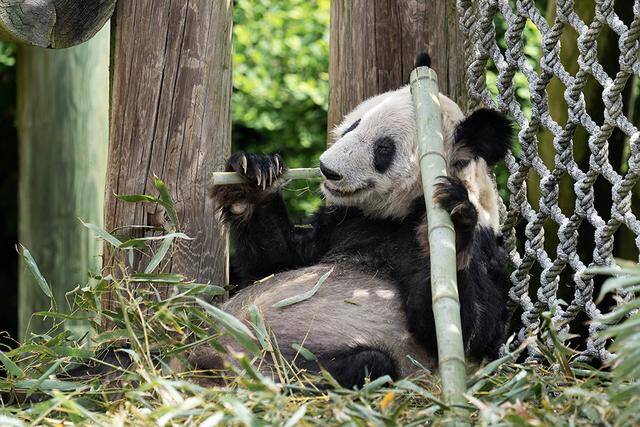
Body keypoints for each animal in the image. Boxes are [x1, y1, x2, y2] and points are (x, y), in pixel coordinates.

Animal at [196, 56, 516, 388]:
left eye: (384, 148)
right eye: (354, 124)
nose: (327, 169)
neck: (397, 215)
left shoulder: (485, 248)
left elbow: (470, 330)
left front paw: (455, 220)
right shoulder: (342, 222)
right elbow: (273, 264)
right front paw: (253, 176)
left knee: (368, 363)